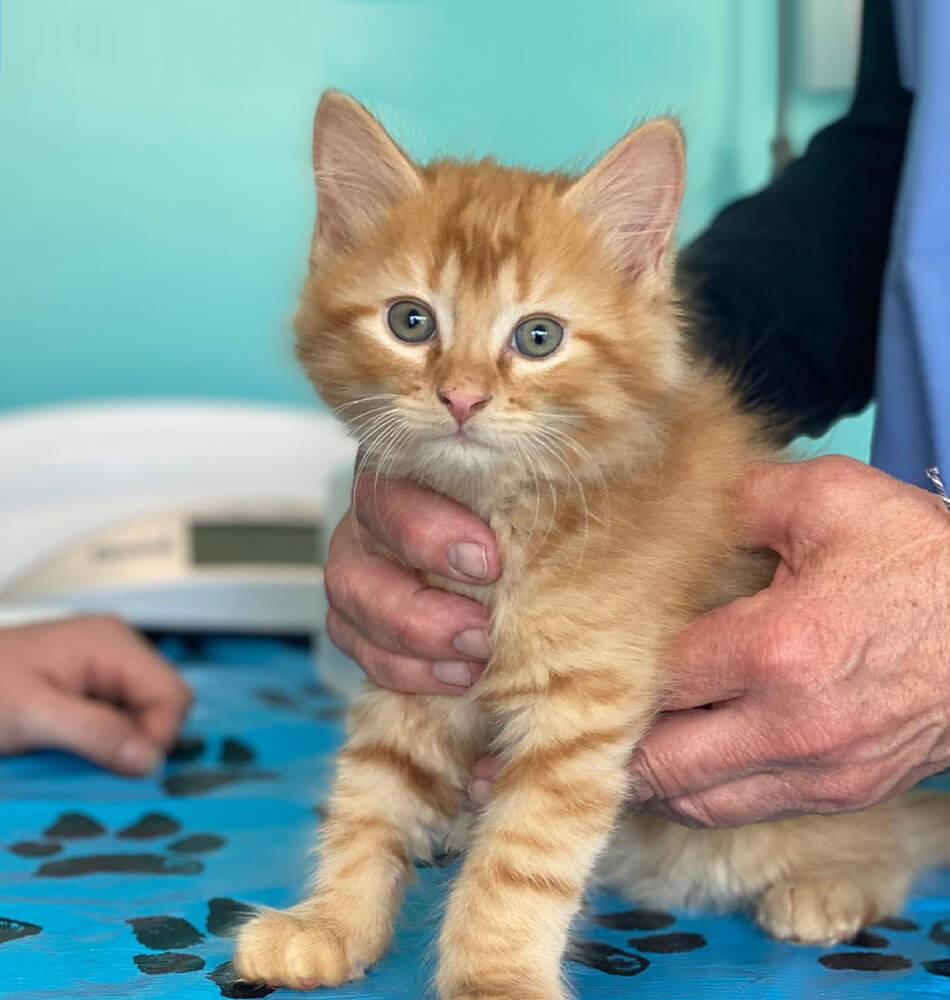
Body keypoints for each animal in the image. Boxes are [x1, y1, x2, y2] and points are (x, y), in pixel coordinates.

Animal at [232, 92, 950, 992]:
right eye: (410, 321)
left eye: (538, 338)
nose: (462, 397)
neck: (504, 519)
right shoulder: (411, 667)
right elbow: (368, 798)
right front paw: (332, 924)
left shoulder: (581, 703)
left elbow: (520, 860)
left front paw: (495, 979)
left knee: (896, 842)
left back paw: (830, 887)